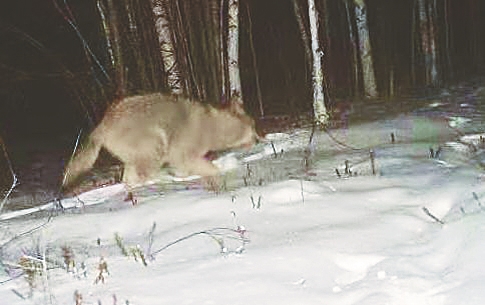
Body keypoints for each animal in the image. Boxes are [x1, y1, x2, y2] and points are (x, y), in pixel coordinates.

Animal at [62, 92, 260, 188]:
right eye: (254, 126)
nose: (260, 140)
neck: (213, 126)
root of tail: (102, 124)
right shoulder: (183, 155)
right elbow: (211, 169)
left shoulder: (181, 160)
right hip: (155, 144)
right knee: (144, 175)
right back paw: (164, 180)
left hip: (136, 157)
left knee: (129, 180)